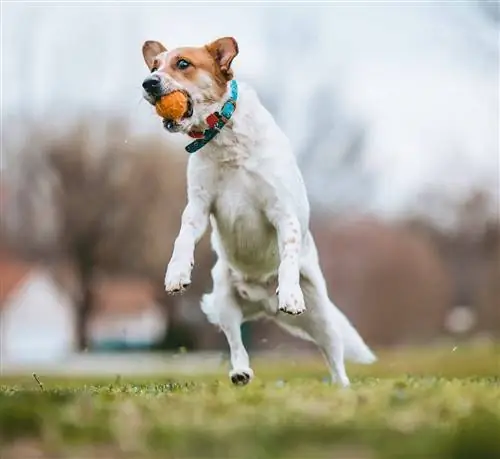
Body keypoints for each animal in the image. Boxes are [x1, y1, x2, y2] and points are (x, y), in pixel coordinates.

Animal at [141, 36, 376, 388]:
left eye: (183, 64)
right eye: (154, 66)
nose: (149, 83)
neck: (224, 137)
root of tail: (264, 305)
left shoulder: (282, 213)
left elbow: (288, 257)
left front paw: (290, 295)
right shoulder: (198, 206)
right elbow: (182, 238)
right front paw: (177, 273)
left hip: (323, 316)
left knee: (334, 356)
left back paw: (342, 387)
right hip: (225, 299)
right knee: (236, 341)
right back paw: (240, 372)